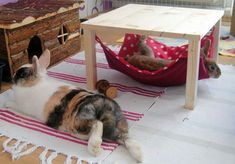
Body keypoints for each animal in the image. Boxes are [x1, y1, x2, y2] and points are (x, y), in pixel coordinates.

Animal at [4, 50, 142, 163]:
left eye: (22, 74)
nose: (12, 78)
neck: (34, 83)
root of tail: (108, 110)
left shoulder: (21, 106)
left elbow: (13, 104)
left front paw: (5, 103)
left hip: (80, 120)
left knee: (97, 124)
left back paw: (95, 148)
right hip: (115, 130)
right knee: (127, 140)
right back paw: (140, 156)